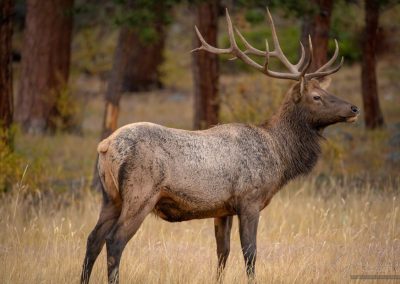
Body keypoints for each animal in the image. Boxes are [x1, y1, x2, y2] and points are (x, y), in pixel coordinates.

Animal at [80, 7, 360, 282]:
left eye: (326, 91)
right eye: (317, 97)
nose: (354, 108)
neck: (279, 156)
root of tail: (105, 146)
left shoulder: (223, 209)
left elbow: (222, 252)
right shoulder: (250, 199)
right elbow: (250, 252)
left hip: (110, 197)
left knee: (93, 239)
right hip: (141, 194)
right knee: (114, 241)